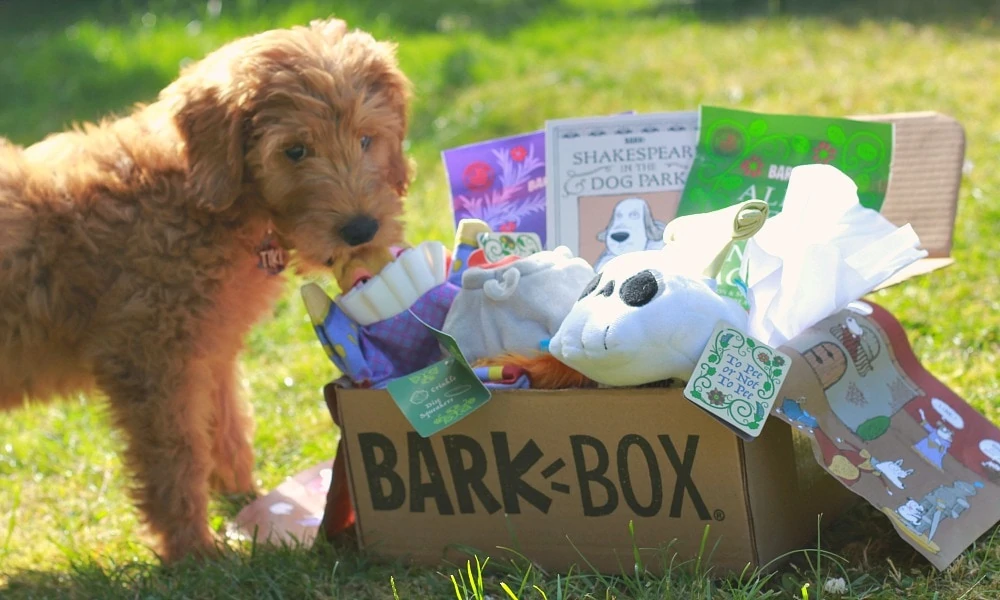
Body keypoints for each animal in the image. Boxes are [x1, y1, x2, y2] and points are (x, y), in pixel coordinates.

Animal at [0, 17, 410, 564]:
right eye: (295, 150)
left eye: (367, 138)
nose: (362, 229)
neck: (197, 195)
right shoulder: (150, 361)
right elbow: (175, 457)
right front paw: (194, 550)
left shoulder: (209, 353)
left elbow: (226, 431)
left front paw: (246, 500)